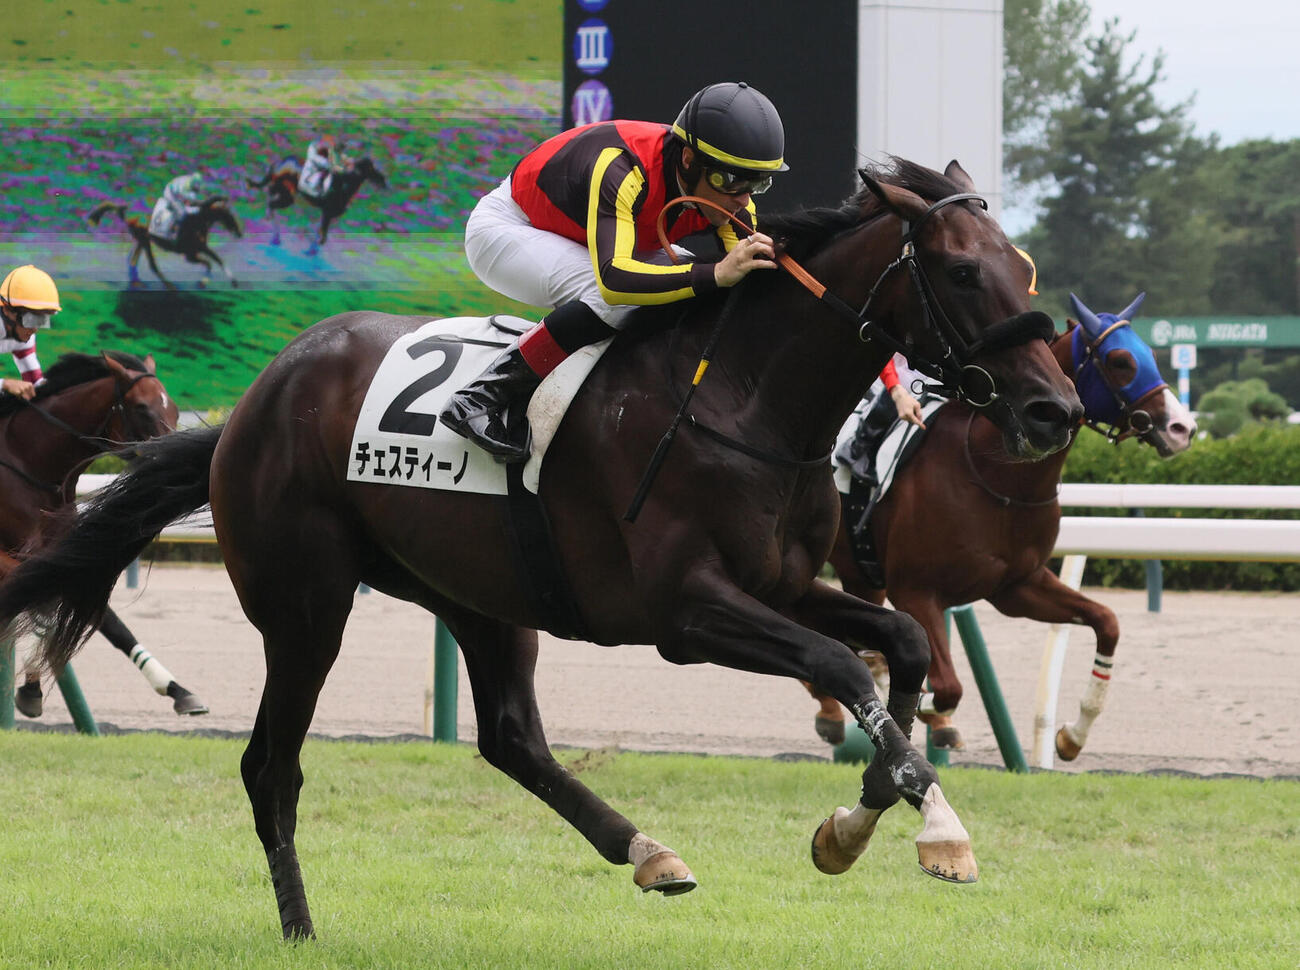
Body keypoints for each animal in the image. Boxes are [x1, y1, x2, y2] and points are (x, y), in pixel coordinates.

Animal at [0, 352, 206, 717]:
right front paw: (31, 685)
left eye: (174, 409)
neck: (31, 464)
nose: (177, 454)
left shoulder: (63, 553)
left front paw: (177, 689)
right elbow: (47, 603)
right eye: (141, 407)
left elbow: (107, 621)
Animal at [88, 198, 243, 290]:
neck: (196, 220)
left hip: (141, 239)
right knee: (152, 265)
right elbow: (212, 262)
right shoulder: (190, 254)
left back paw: (137, 282)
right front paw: (205, 282)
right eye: (229, 215)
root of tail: (126, 208)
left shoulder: (198, 250)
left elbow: (216, 260)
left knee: (132, 259)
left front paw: (230, 281)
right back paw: (169, 285)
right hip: (145, 239)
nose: (239, 233)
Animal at [246, 156, 387, 251]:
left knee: (269, 199)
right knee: (271, 204)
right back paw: (275, 233)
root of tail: (279, 163)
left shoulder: (327, 214)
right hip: (287, 197)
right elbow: (323, 232)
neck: (346, 183)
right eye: (371, 168)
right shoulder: (327, 213)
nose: (383, 180)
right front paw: (317, 245)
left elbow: (321, 231)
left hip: (280, 192)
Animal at [808, 292, 1196, 757]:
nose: (1182, 428)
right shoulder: (916, 591)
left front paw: (1072, 734)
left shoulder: (1018, 585)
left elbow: (1106, 621)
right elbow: (948, 687)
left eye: (1152, 355)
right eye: (1121, 361)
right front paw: (930, 712)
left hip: (859, 571)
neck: (996, 476)